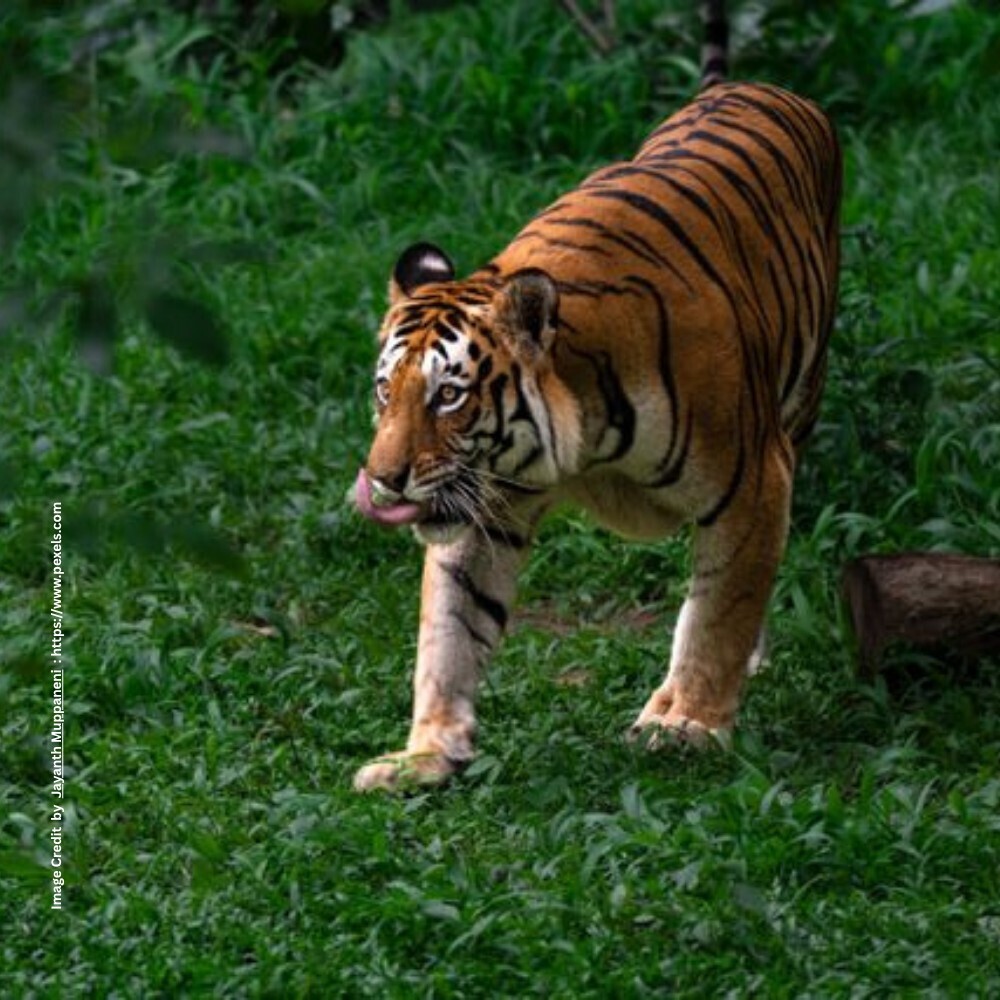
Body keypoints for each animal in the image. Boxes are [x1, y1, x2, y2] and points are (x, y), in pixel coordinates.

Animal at [351, 0, 842, 791]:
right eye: (382, 392)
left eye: (449, 395)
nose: (384, 480)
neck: (580, 437)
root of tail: (750, 87)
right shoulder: (487, 507)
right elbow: (452, 629)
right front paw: (426, 755)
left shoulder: (755, 480)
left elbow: (722, 609)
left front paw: (690, 725)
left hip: (800, 399)